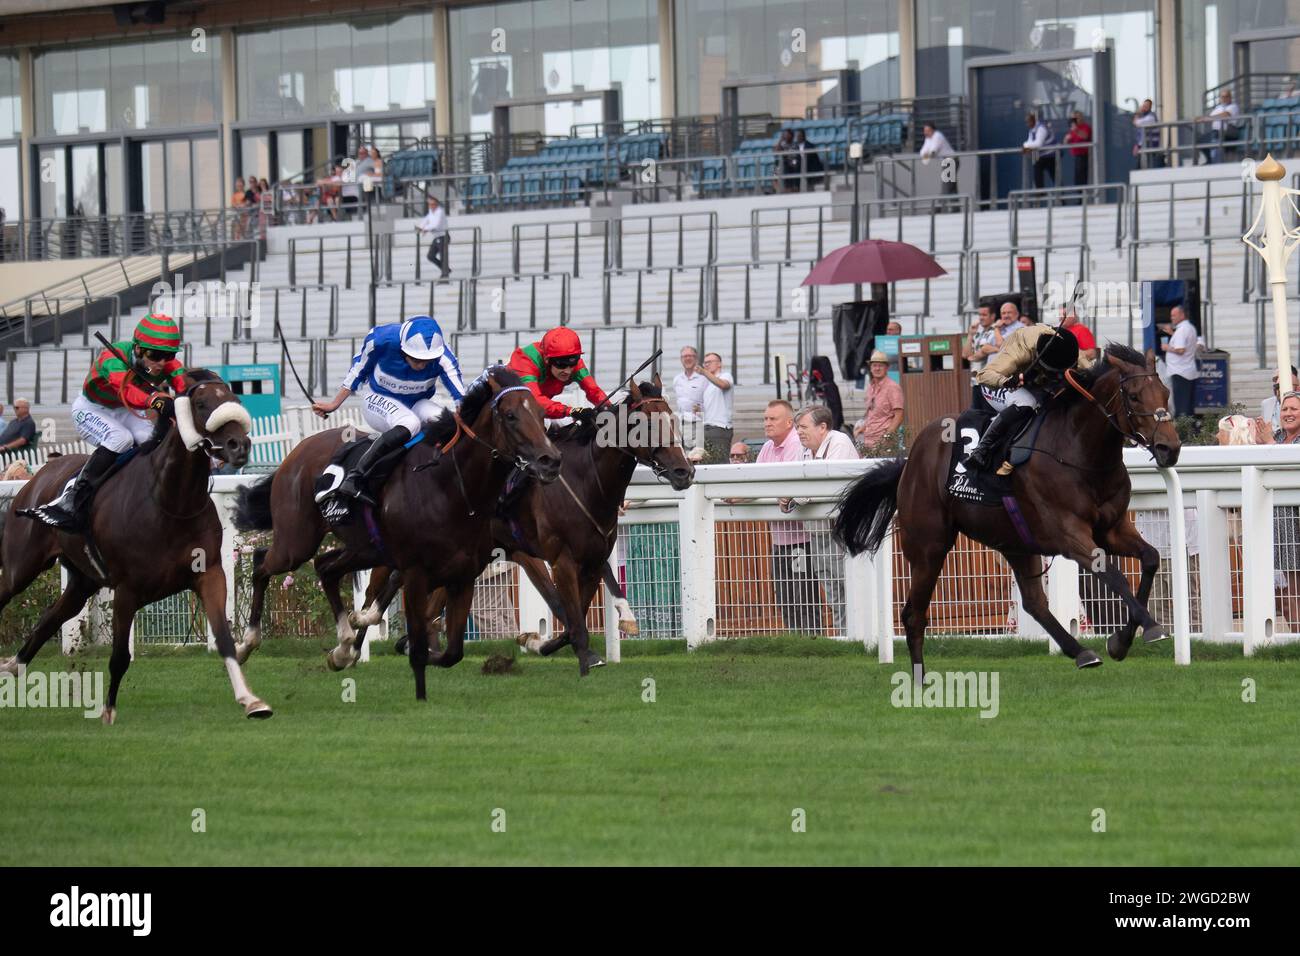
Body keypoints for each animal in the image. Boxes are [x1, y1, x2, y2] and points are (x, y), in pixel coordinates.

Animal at [0, 369, 267, 723]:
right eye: (200, 403)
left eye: (235, 399)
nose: (240, 445)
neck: (171, 502)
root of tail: (39, 474)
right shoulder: (127, 589)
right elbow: (119, 657)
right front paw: (108, 710)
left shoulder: (208, 572)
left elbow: (224, 640)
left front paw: (251, 700)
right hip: (20, 567)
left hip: (83, 580)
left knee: (51, 618)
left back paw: (11, 667)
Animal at [233, 364, 559, 697]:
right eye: (510, 415)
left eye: (541, 412)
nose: (550, 460)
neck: (451, 488)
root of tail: (298, 450)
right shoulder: (416, 572)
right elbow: (419, 645)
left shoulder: (463, 575)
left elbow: (453, 653)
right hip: (297, 542)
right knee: (261, 563)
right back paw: (247, 644)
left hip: (366, 548)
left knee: (325, 567)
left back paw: (343, 648)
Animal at [351, 377, 696, 671]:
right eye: (645, 423)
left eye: (673, 419)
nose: (684, 471)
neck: (586, 480)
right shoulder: (558, 558)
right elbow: (568, 613)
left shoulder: (591, 561)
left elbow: (573, 620)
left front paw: (538, 642)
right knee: (383, 584)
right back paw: (358, 635)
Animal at [837, 345, 1185, 671]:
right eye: (1134, 396)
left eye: (1166, 393)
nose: (1170, 448)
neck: (1078, 452)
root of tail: (909, 461)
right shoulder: (1070, 536)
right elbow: (1114, 575)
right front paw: (1151, 628)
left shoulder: (1112, 528)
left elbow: (1150, 558)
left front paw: (1121, 641)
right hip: (928, 547)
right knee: (914, 615)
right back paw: (920, 683)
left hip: (1015, 542)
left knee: (1034, 603)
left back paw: (1082, 652)